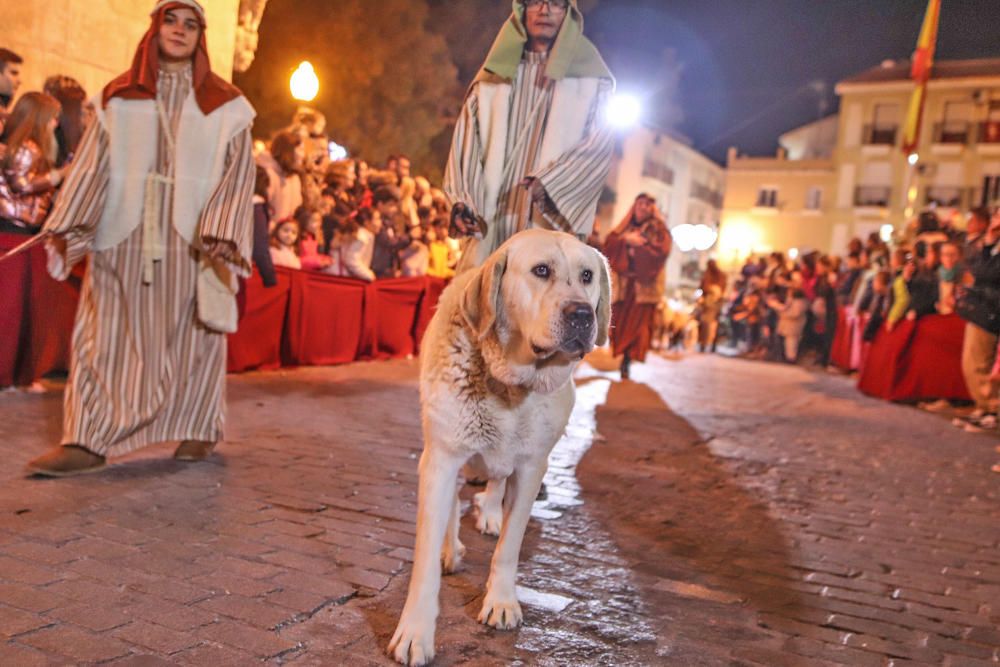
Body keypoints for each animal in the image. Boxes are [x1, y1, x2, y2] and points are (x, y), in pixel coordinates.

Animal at [388, 228, 608, 664]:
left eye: (587, 276)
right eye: (541, 271)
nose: (582, 315)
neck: (510, 384)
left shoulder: (532, 467)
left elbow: (510, 544)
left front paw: (502, 600)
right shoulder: (440, 459)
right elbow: (425, 561)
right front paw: (415, 631)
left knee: (495, 480)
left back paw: (489, 511)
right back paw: (452, 545)